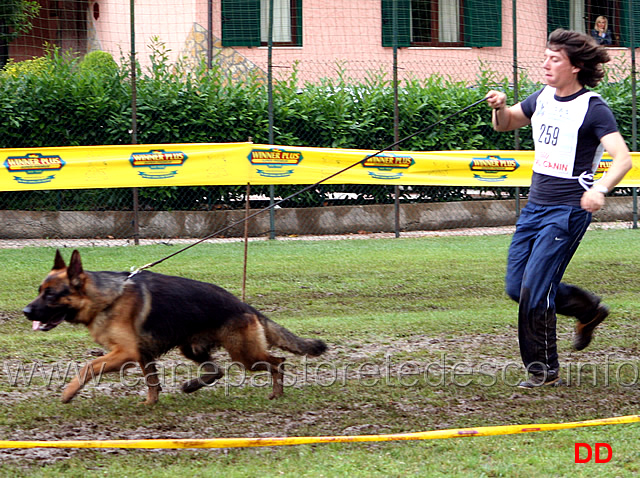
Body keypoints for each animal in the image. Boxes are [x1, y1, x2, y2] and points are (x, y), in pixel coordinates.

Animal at [23, 250, 328, 404]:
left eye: (51, 295)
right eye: (39, 291)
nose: (26, 312)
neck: (106, 297)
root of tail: (245, 306)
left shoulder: (126, 353)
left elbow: (87, 367)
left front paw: (69, 392)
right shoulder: (142, 355)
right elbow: (152, 383)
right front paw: (151, 404)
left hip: (245, 355)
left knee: (278, 362)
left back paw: (277, 393)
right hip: (191, 348)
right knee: (216, 370)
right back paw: (192, 386)